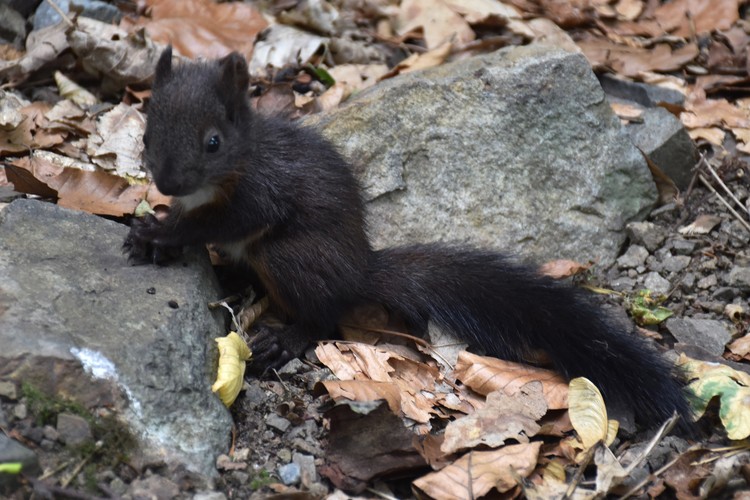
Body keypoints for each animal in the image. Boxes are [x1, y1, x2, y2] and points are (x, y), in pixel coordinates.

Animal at [123, 47, 692, 430]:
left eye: (213, 142)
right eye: (147, 131)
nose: (167, 182)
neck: (238, 163)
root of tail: (359, 271)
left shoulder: (259, 194)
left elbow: (220, 222)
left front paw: (160, 230)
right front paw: (155, 227)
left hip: (291, 257)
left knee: (322, 315)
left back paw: (286, 337)